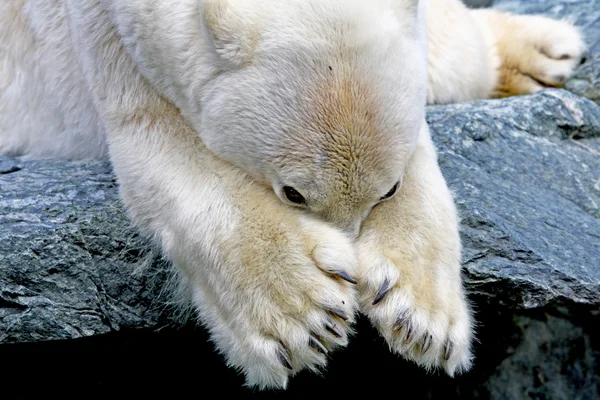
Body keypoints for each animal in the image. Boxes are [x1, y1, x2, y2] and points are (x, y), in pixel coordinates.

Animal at [0, 0, 584, 390]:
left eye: (388, 190)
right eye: (294, 193)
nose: (355, 272)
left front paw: (424, 319)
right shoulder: (108, 41)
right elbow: (168, 154)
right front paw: (305, 318)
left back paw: (547, 50)